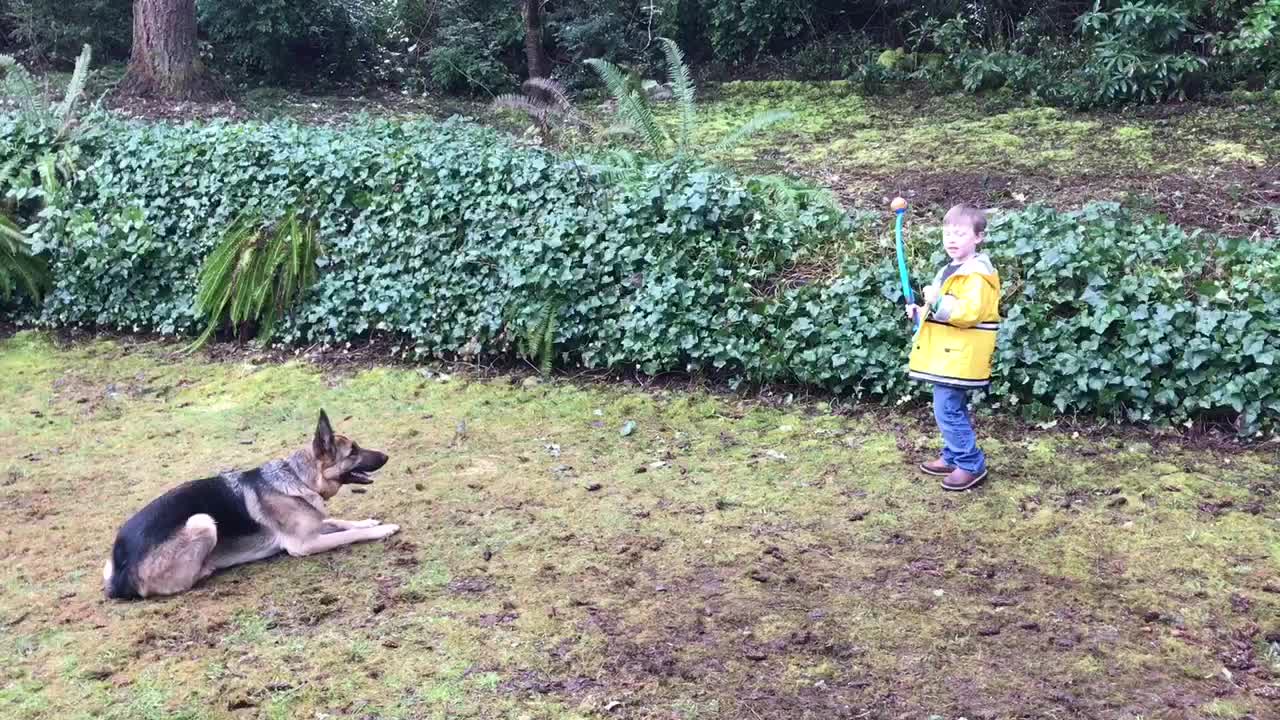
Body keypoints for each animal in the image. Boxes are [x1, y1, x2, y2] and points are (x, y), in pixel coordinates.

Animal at [103, 407, 396, 597]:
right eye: (353, 452)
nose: (387, 456)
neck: (298, 478)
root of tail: (120, 576)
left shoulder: (313, 523)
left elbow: (339, 521)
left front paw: (368, 521)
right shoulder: (303, 544)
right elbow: (348, 535)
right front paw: (381, 530)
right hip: (202, 522)